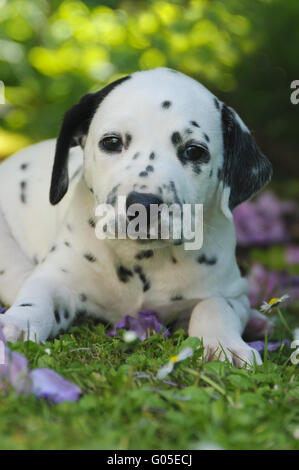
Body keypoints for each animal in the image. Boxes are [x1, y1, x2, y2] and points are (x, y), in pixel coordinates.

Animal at [0, 67, 274, 368]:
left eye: (194, 151)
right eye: (112, 142)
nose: (143, 205)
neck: (143, 260)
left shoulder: (232, 292)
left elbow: (214, 305)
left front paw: (225, 344)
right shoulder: (56, 278)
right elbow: (39, 298)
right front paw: (16, 324)